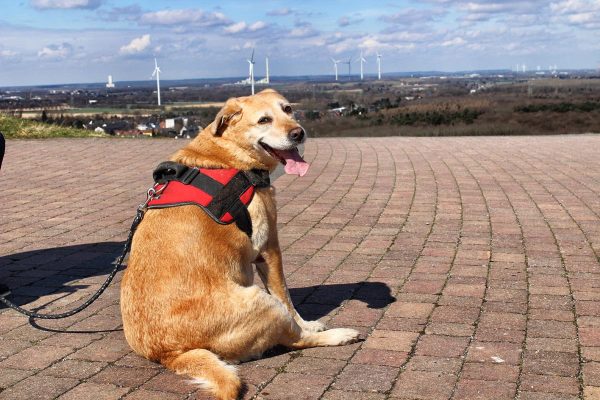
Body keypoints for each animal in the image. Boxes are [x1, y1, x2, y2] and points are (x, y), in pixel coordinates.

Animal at [119, 90, 358, 400]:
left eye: (288, 109)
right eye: (264, 120)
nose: (299, 133)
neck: (228, 153)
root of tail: (168, 352)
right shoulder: (269, 249)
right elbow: (288, 300)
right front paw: (307, 322)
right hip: (262, 301)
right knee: (295, 339)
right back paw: (338, 335)